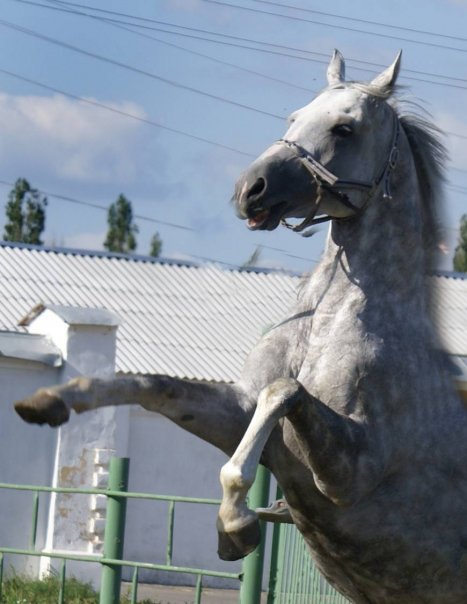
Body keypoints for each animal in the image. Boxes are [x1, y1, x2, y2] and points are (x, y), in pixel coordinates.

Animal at [13, 49, 467, 600]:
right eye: (294, 118)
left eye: (345, 128)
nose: (250, 190)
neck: (328, 325)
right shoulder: (240, 415)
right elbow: (153, 385)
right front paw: (50, 401)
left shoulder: (350, 473)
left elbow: (282, 392)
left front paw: (236, 527)